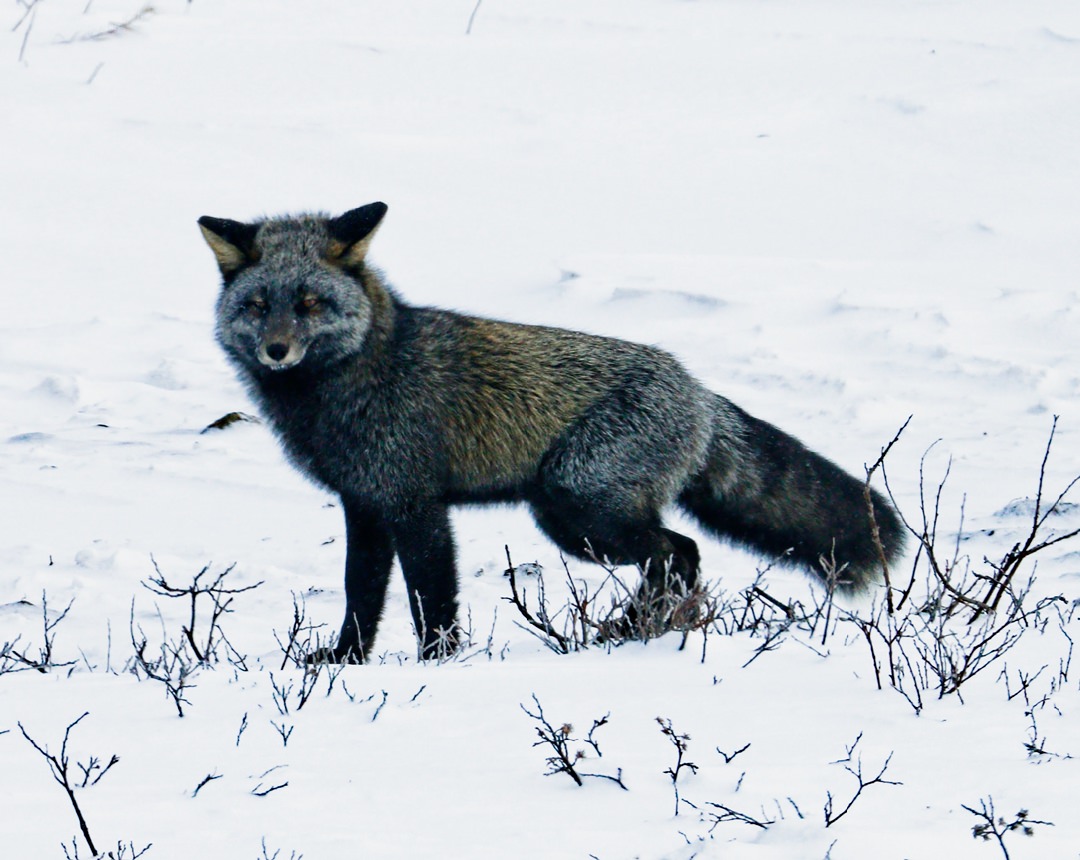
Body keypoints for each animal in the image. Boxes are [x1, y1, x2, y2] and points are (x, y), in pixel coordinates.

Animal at [198, 202, 905, 662]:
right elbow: (360, 595)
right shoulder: (365, 505)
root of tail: (697, 389)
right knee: (678, 555)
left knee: (679, 551)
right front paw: (344, 663)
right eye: (258, 306)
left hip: (581, 510)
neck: (355, 380)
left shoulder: (416, 505)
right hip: (572, 519)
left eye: (311, 304)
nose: (277, 351)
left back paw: (634, 632)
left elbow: (433, 599)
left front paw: (437, 667)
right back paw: (637, 630)